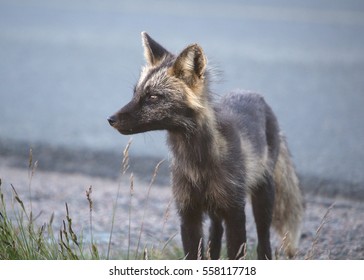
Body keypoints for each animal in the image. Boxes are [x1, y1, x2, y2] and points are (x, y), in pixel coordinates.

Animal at [108, 31, 304, 260]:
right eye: (135, 93)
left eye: (153, 97)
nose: (110, 119)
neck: (197, 164)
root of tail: (254, 94)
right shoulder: (188, 212)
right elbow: (194, 253)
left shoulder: (235, 211)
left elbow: (236, 253)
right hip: (214, 208)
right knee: (215, 234)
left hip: (263, 196)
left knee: (263, 240)